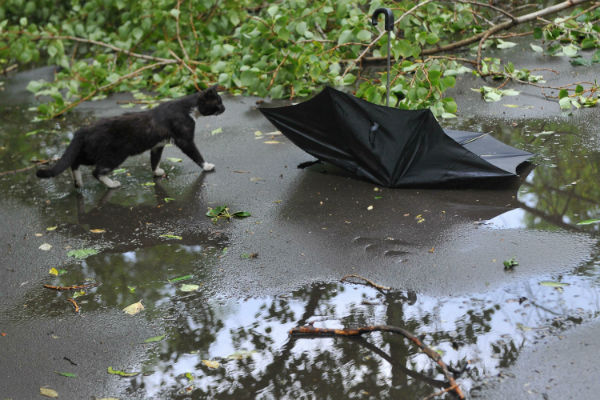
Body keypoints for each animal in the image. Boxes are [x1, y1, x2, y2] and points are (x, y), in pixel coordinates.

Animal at [37, 85, 225, 188]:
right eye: (218, 102)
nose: (224, 109)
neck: (189, 108)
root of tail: (83, 129)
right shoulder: (184, 139)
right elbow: (195, 153)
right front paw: (207, 166)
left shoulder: (157, 145)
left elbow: (155, 159)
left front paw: (156, 172)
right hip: (115, 154)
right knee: (96, 171)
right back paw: (112, 184)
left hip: (92, 151)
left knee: (75, 161)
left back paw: (78, 182)